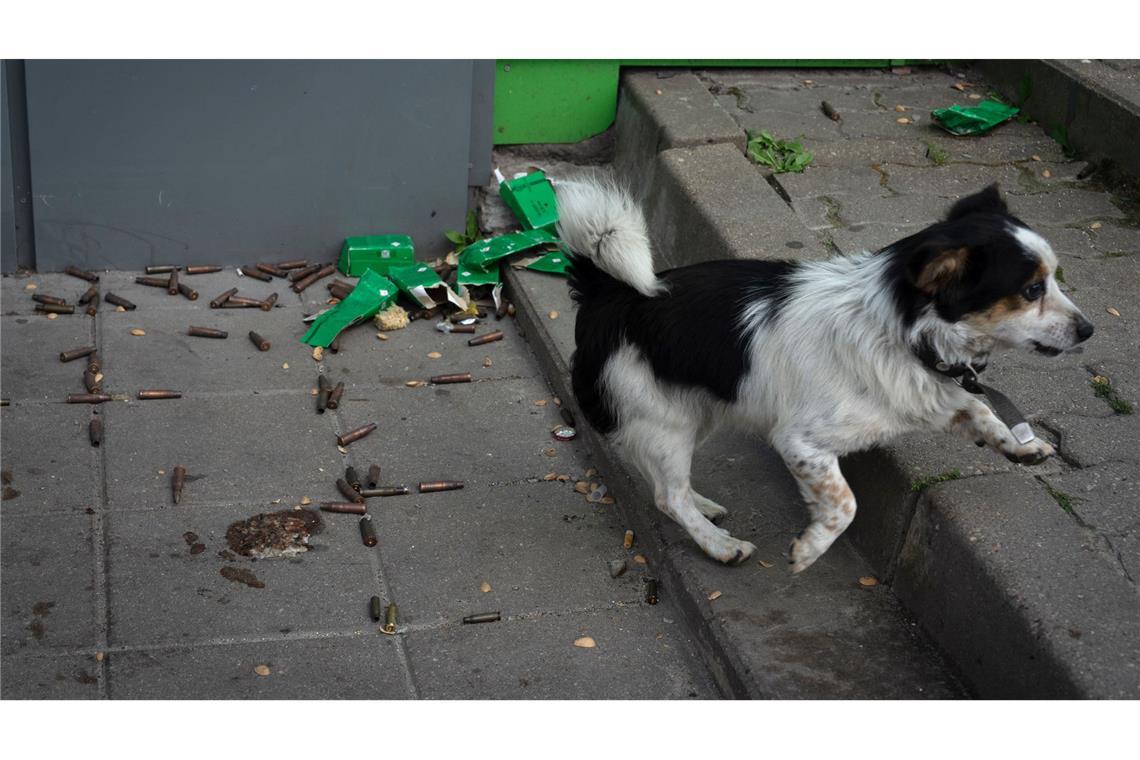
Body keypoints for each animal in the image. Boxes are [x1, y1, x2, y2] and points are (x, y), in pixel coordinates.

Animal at [560, 178, 1094, 569]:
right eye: (1031, 290)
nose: (1088, 330)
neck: (899, 331)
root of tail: (608, 293)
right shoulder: (800, 442)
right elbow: (845, 505)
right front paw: (810, 548)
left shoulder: (931, 393)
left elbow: (978, 407)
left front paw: (1020, 445)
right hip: (666, 420)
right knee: (667, 496)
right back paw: (718, 544)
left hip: (697, 411)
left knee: (662, 484)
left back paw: (706, 509)